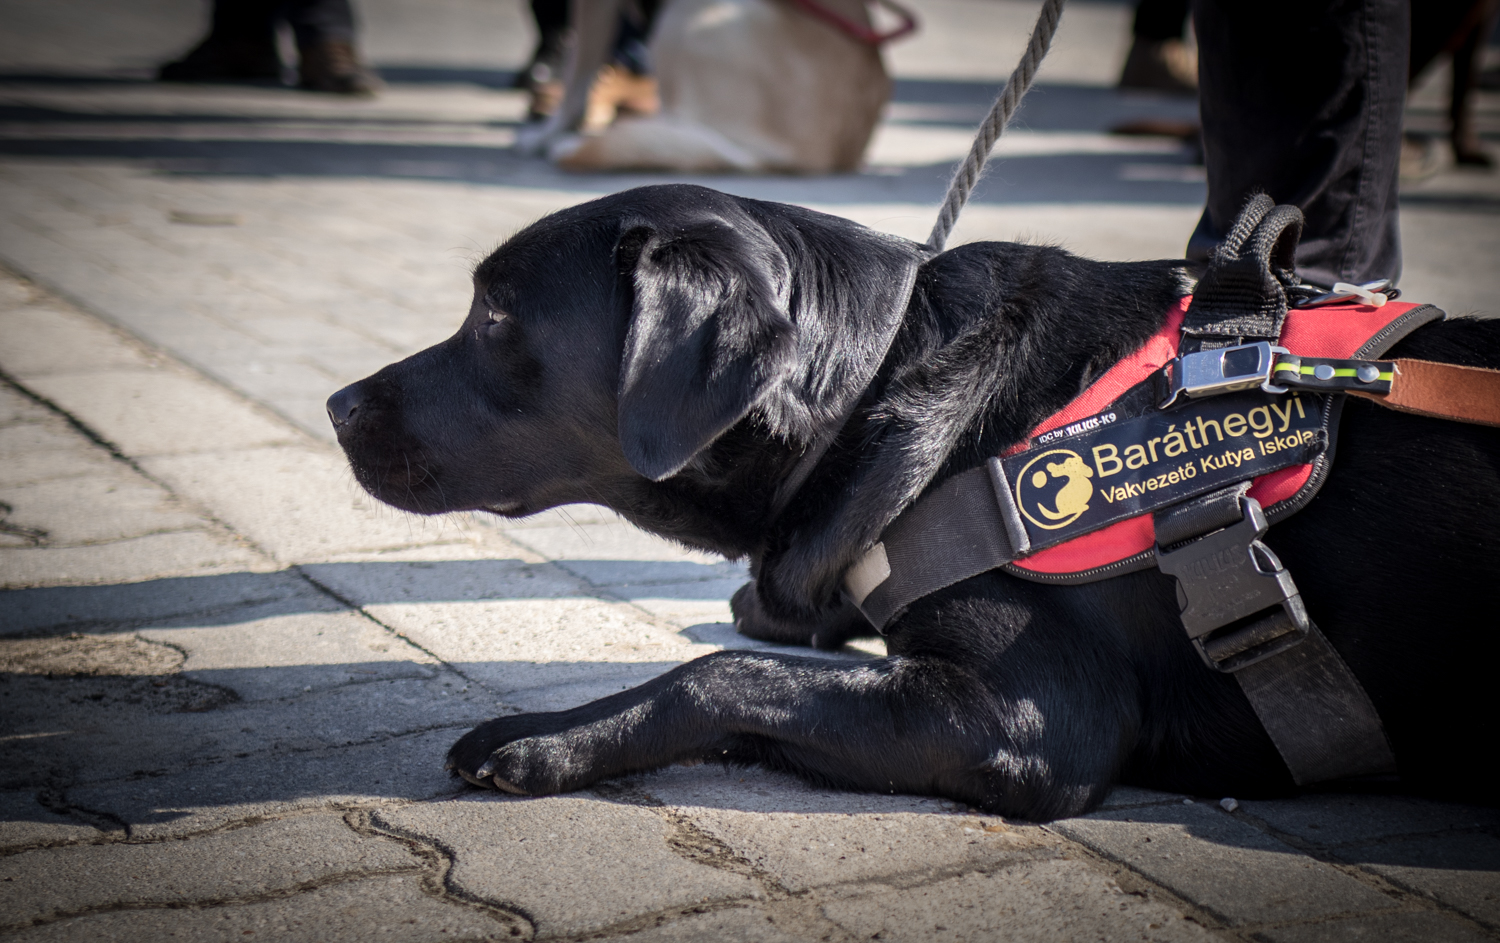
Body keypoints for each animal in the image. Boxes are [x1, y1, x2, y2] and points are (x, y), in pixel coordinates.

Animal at [331, 182, 1500, 815]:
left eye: (493, 316)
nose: (337, 404)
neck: (878, 370)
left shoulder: (1036, 721)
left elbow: (722, 675)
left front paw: (546, 736)